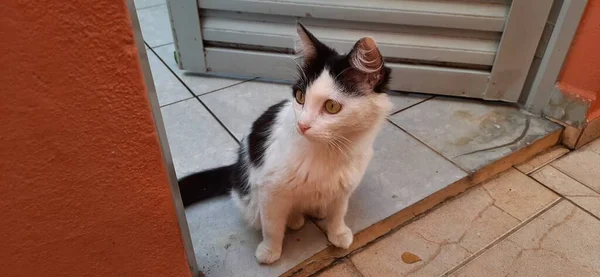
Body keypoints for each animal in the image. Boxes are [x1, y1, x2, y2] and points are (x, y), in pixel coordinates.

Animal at [177, 23, 394, 264]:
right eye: (300, 97)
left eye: (332, 107)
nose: (302, 125)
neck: (328, 150)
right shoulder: (269, 190)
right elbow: (272, 226)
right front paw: (269, 251)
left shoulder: (344, 187)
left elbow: (338, 212)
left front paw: (338, 233)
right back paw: (295, 219)